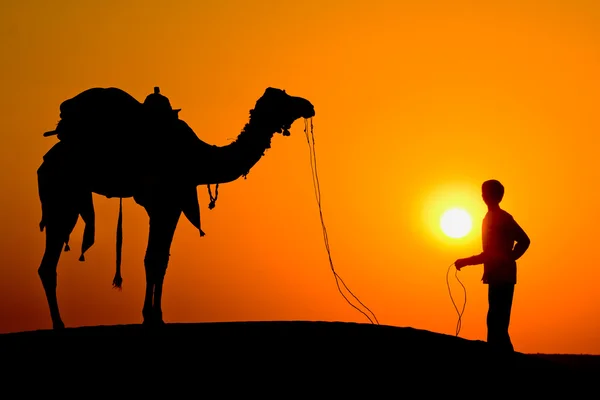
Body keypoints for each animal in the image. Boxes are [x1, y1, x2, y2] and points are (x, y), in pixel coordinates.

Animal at [37, 86, 316, 328]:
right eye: (283, 98)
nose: (308, 105)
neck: (201, 158)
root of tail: (45, 162)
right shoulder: (165, 203)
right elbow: (153, 259)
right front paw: (151, 317)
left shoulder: (171, 206)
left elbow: (160, 260)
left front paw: (155, 316)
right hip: (62, 195)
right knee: (48, 262)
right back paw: (59, 324)